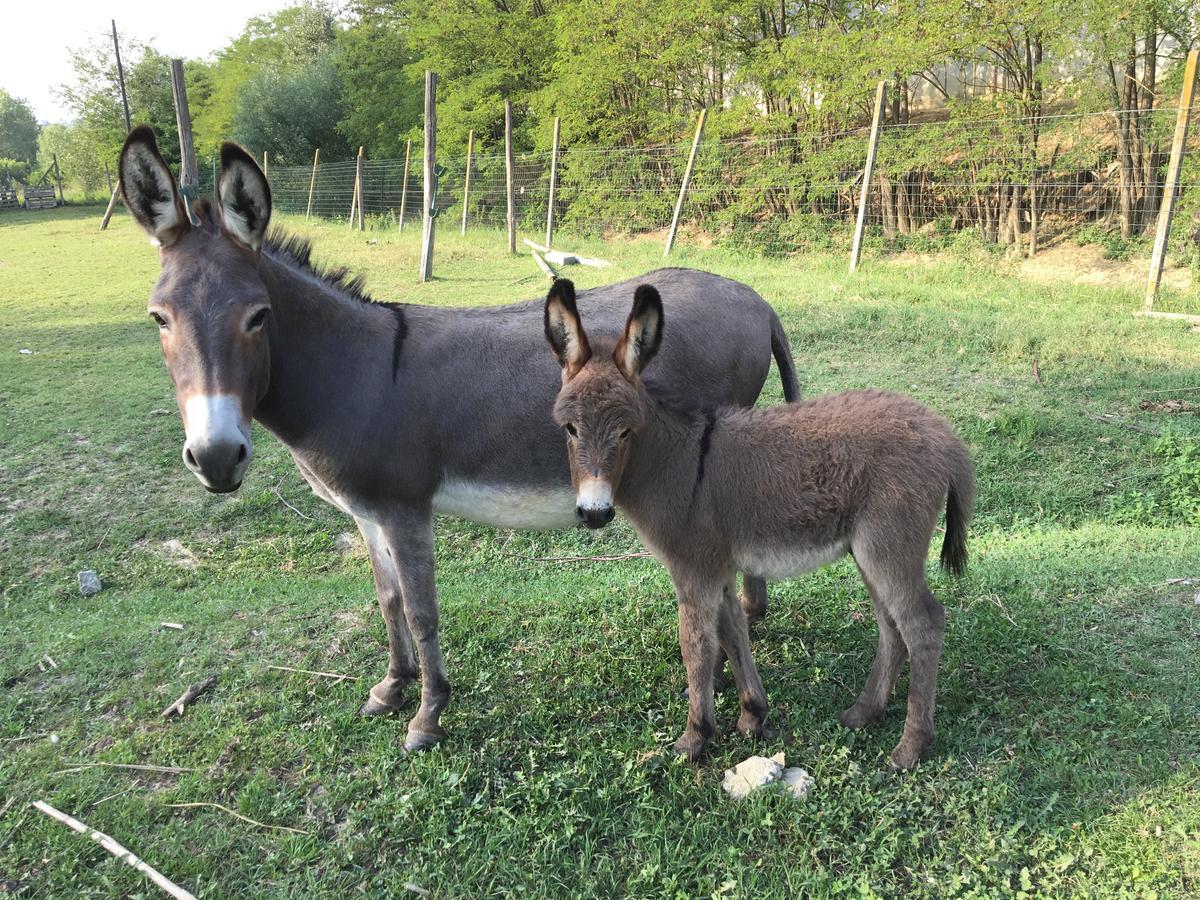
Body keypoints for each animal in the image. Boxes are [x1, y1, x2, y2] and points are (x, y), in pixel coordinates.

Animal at [547, 280, 974, 768]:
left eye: (625, 431)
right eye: (570, 428)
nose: (594, 512)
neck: (677, 460)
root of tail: (946, 436)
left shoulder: (693, 569)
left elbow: (697, 645)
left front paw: (694, 738)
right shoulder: (718, 567)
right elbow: (733, 630)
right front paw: (753, 715)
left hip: (889, 546)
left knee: (923, 624)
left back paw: (911, 746)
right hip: (870, 552)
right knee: (892, 626)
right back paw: (864, 712)